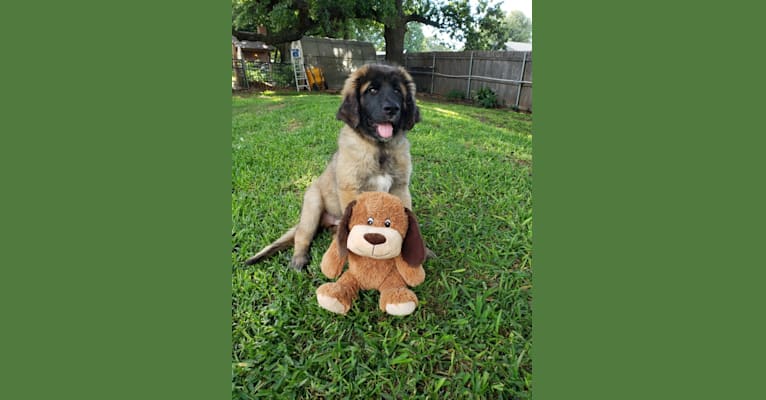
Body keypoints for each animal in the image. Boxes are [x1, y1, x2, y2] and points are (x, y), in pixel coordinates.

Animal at [246, 64, 424, 270]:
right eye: (372, 90)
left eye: (397, 91)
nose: (393, 109)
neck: (379, 148)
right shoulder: (351, 189)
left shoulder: (400, 188)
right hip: (312, 207)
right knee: (302, 235)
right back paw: (299, 259)